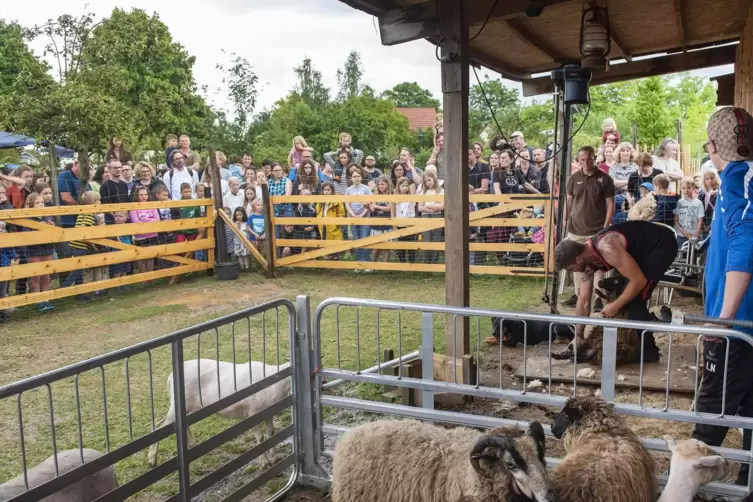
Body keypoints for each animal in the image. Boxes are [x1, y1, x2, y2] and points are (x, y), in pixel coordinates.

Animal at [148, 358, 290, 468]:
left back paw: (191, 445)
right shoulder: (251, 411)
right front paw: (265, 462)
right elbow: (260, 437)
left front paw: (276, 457)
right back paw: (151, 460)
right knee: (160, 425)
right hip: (177, 406)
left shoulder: (268, 412)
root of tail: (170, 377)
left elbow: (271, 433)